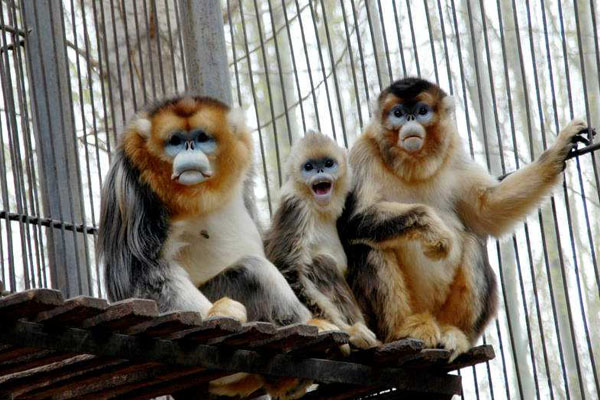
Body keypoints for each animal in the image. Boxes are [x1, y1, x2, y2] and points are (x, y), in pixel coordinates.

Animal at [340, 76, 592, 358]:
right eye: (398, 113)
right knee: (367, 246)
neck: (413, 165)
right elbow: (351, 223)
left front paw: (558, 150)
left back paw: (454, 333)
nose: (409, 120)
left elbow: (487, 209)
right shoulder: (362, 152)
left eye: (421, 111)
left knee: (472, 241)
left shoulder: (453, 152)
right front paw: (432, 227)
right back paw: (404, 329)